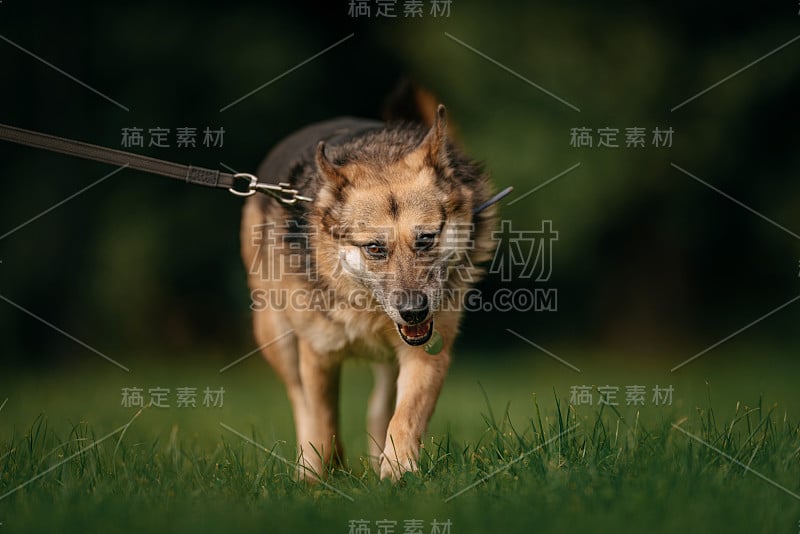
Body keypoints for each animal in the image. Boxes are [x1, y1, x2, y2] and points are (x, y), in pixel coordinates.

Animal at [241, 94, 496, 484]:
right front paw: (321, 476)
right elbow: (322, 418)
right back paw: (306, 467)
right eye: (375, 248)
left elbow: (405, 415)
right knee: (299, 399)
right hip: (275, 335)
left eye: (426, 240)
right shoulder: (318, 352)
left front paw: (398, 469)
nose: (414, 311)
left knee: (380, 407)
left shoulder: (427, 352)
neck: (369, 310)